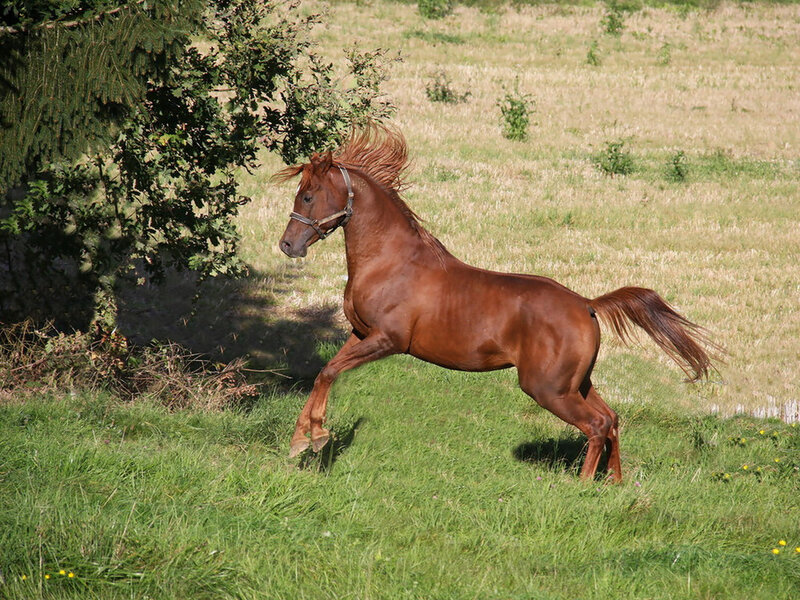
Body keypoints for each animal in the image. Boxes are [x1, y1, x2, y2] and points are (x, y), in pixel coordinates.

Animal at [275, 124, 718, 482]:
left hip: (547, 388)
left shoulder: (388, 340)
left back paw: (580, 488)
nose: (288, 245)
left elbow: (330, 372)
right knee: (611, 420)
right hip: (575, 383)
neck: (391, 261)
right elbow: (324, 373)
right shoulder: (359, 333)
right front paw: (301, 440)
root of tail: (586, 305)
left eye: (308, 195)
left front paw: (316, 438)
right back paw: (613, 484)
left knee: (595, 425)